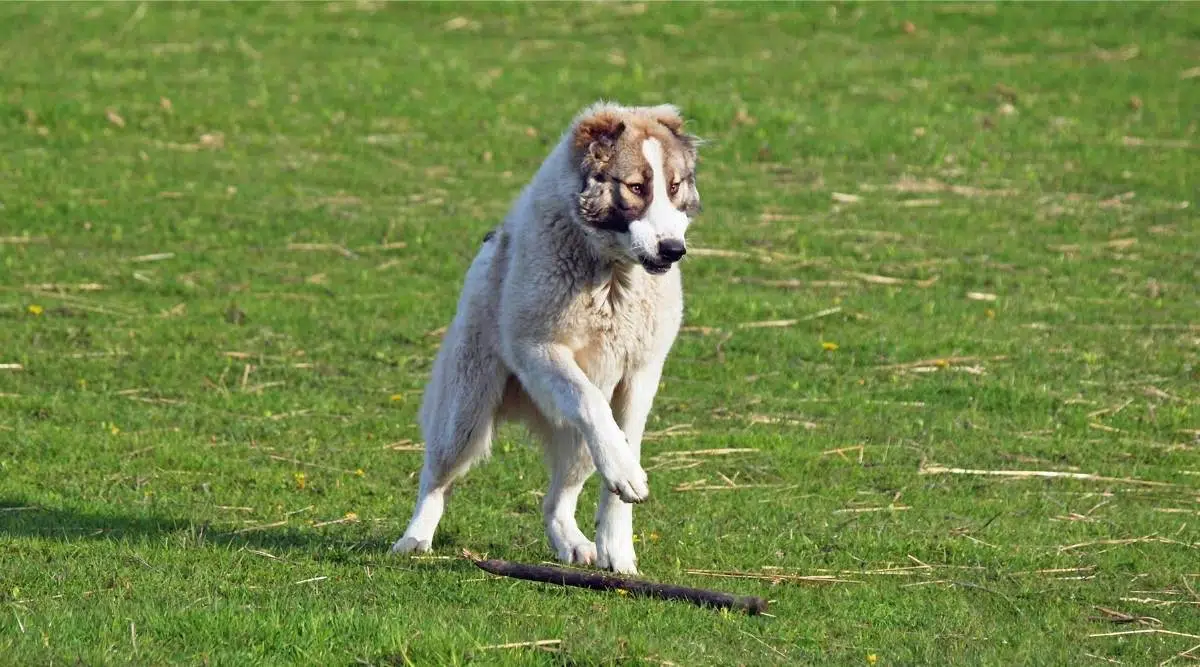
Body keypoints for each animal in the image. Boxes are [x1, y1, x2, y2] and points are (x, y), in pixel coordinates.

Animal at [388, 101, 700, 575]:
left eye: (674, 186)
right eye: (635, 187)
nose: (672, 249)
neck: (611, 273)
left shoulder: (640, 373)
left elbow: (623, 447)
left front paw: (618, 548)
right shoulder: (539, 350)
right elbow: (588, 401)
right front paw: (626, 475)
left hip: (575, 443)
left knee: (555, 500)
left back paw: (574, 543)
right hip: (465, 411)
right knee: (436, 477)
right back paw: (414, 538)